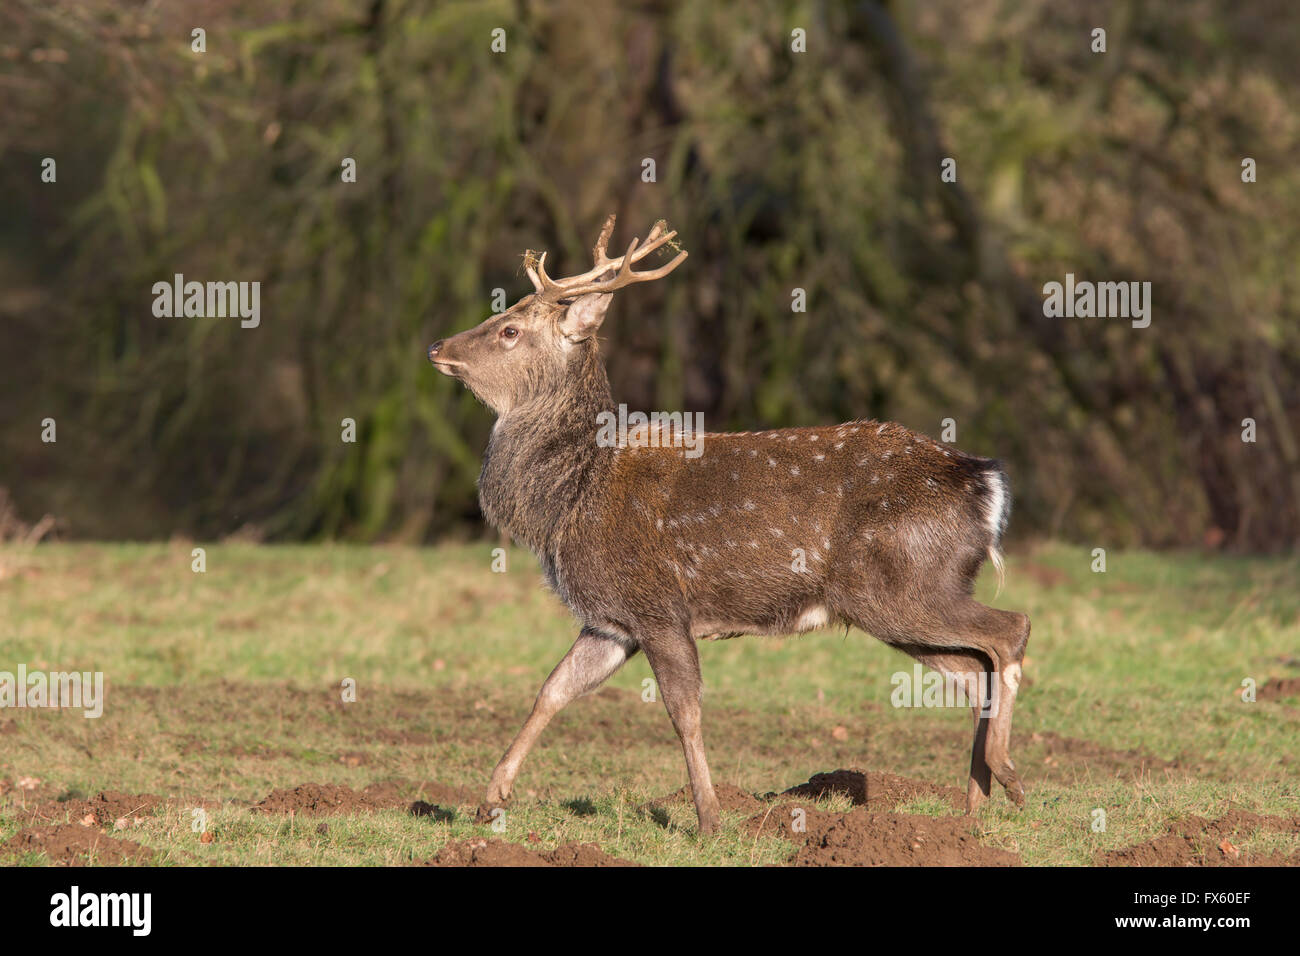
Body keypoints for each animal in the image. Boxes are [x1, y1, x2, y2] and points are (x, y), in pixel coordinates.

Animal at [428, 214, 1030, 835]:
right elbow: (552, 690)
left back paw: (1006, 774)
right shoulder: (611, 620)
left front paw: (711, 819)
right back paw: (971, 811)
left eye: (509, 329)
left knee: (1010, 630)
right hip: (899, 602)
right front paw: (490, 800)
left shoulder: (658, 605)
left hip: (903, 586)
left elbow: (684, 710)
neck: (570, 498)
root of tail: (986, 483)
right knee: (974, 669)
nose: (437, 347)